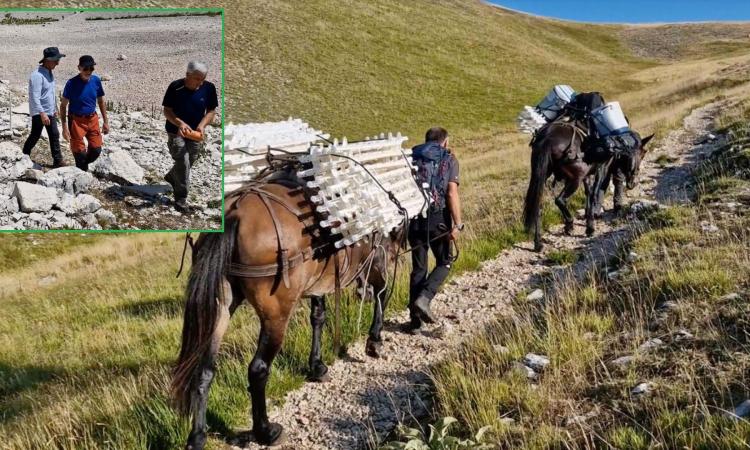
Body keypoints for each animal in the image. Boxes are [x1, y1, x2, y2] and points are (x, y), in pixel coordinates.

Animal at [170, 171, 406, 448]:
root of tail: (234, 213)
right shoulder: (376, 263)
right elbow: (381, 295)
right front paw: (374, 341)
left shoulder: (319, 284)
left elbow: (318, 318)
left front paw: (317, 366)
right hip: (276, 315)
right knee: (258, 369)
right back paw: (265, 431)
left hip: (221, 307)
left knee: (204, 369)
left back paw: (197, 436)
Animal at [524, 118, 652, 253]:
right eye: (643, 153)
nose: (633, 183)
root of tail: (548, 138)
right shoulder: (601, 169)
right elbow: (595, 193)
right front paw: (590, 226)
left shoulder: (588, 175)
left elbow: (588, 193)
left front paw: (588, 217)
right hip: (575, 179)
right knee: (560, 200)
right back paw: (569, 224)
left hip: (542, 176)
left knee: (537, 206)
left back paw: (538, 243)